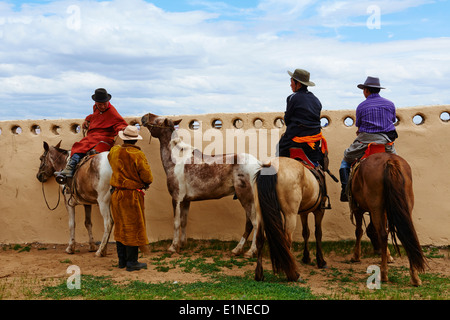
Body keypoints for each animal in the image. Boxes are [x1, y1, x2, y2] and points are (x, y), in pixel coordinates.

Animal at [141, 113, 260, 258]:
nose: (144, 117)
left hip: (246, 197)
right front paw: (182, 244)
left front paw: (173, 247)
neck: (176, 160)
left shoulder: (176, 198)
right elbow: (183, 221)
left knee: (254, 222)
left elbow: (176, 223)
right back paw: (237, 250)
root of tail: (258, 164)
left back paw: (250, 251)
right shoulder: (185, 200)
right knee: (249, 223)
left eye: (157, 120)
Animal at [350, 151, 428, 286]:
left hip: (376, 206)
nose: (377, 249)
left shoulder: (357, 209)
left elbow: (359, 231)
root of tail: (390, 161)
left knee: (383, 234)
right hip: (405, 204)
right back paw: (415, 277)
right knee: (407, 234)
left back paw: (384, 274)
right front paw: (388, 255)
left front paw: (356, 256)